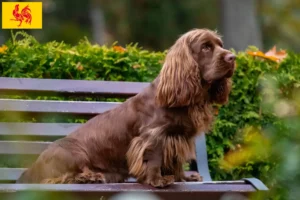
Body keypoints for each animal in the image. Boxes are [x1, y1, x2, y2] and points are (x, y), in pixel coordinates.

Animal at [17, 28, 236, 188]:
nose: (232, 57)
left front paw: (183, 177)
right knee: (55, 178)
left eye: (220, 45)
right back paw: (88, 177)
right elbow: (154, 158)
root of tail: (31, 167)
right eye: (206, 47)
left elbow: (176, 161)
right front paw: (157, 180)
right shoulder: (153, 135)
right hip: (74, 154)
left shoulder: (178, 137)